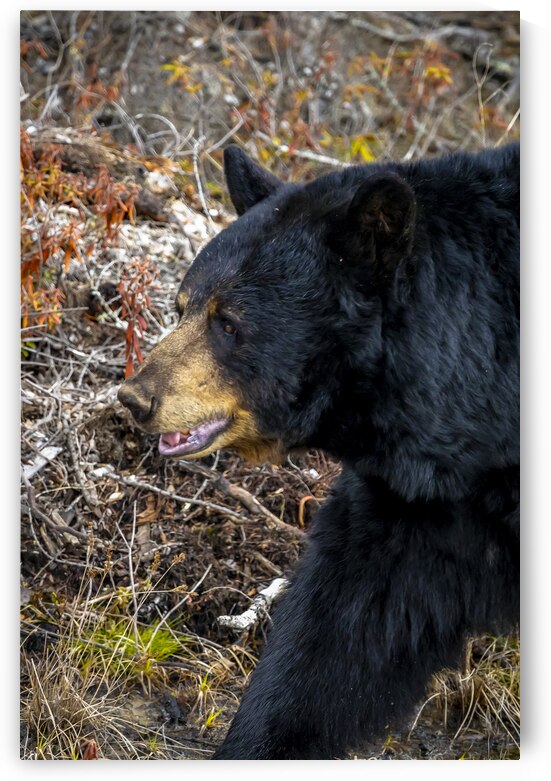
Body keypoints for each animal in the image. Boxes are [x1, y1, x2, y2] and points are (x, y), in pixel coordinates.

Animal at [117, 141, 520, 760]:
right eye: (182, 304)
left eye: (228, 322)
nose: (136, 398)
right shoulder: (424, 500)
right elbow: (348, 621)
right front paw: (260, 740)